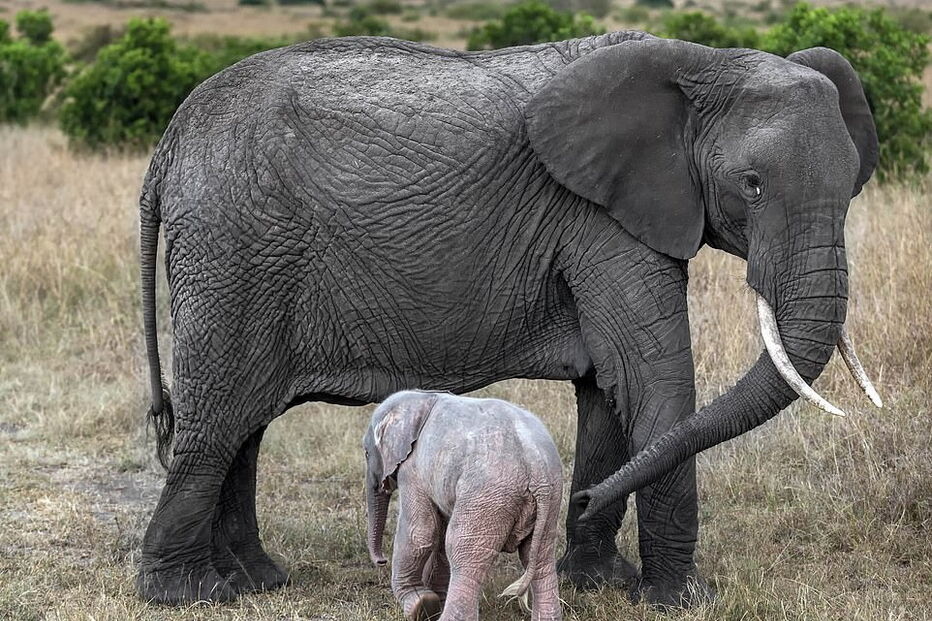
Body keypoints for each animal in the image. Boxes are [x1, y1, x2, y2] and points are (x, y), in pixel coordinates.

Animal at [363, 390, 563, 621]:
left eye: (367, 453)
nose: (381, 561)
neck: (420, 397)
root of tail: (536, 464)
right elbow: (437, 534)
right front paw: (433, 602)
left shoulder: (412, 471)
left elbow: (420, 533)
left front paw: (421, 606)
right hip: (550, 496)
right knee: (540, 556)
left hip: (488, 496)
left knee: (462, 552)